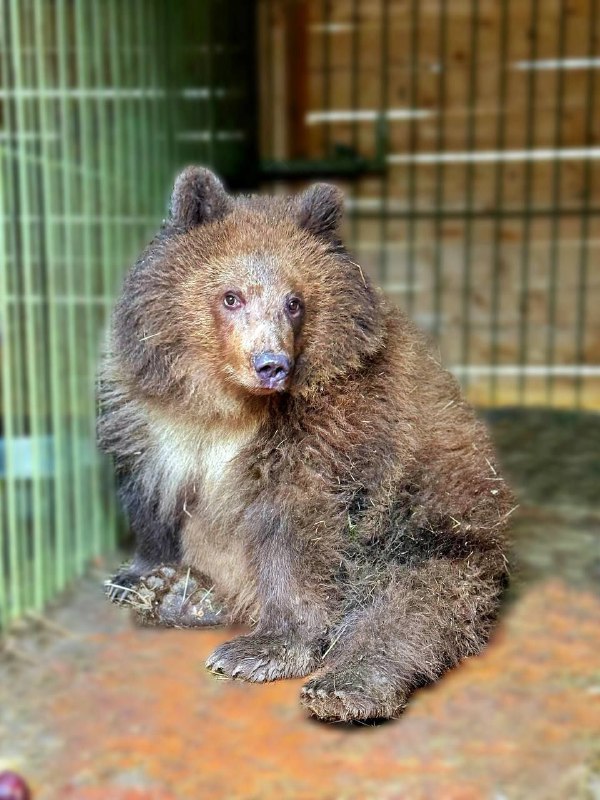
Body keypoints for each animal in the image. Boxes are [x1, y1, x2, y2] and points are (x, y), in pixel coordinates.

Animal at [97, 166, 510, 720]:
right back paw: (182, 596)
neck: (228, 407)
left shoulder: (332, 433)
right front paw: (140, 576)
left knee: (411, 604)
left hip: (433, 532)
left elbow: (295, 532)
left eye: (295, 302)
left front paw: (264, 649)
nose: (272, 364)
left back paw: (347, 684)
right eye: (231, 296)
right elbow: (152, 497)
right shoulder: (153, 421)